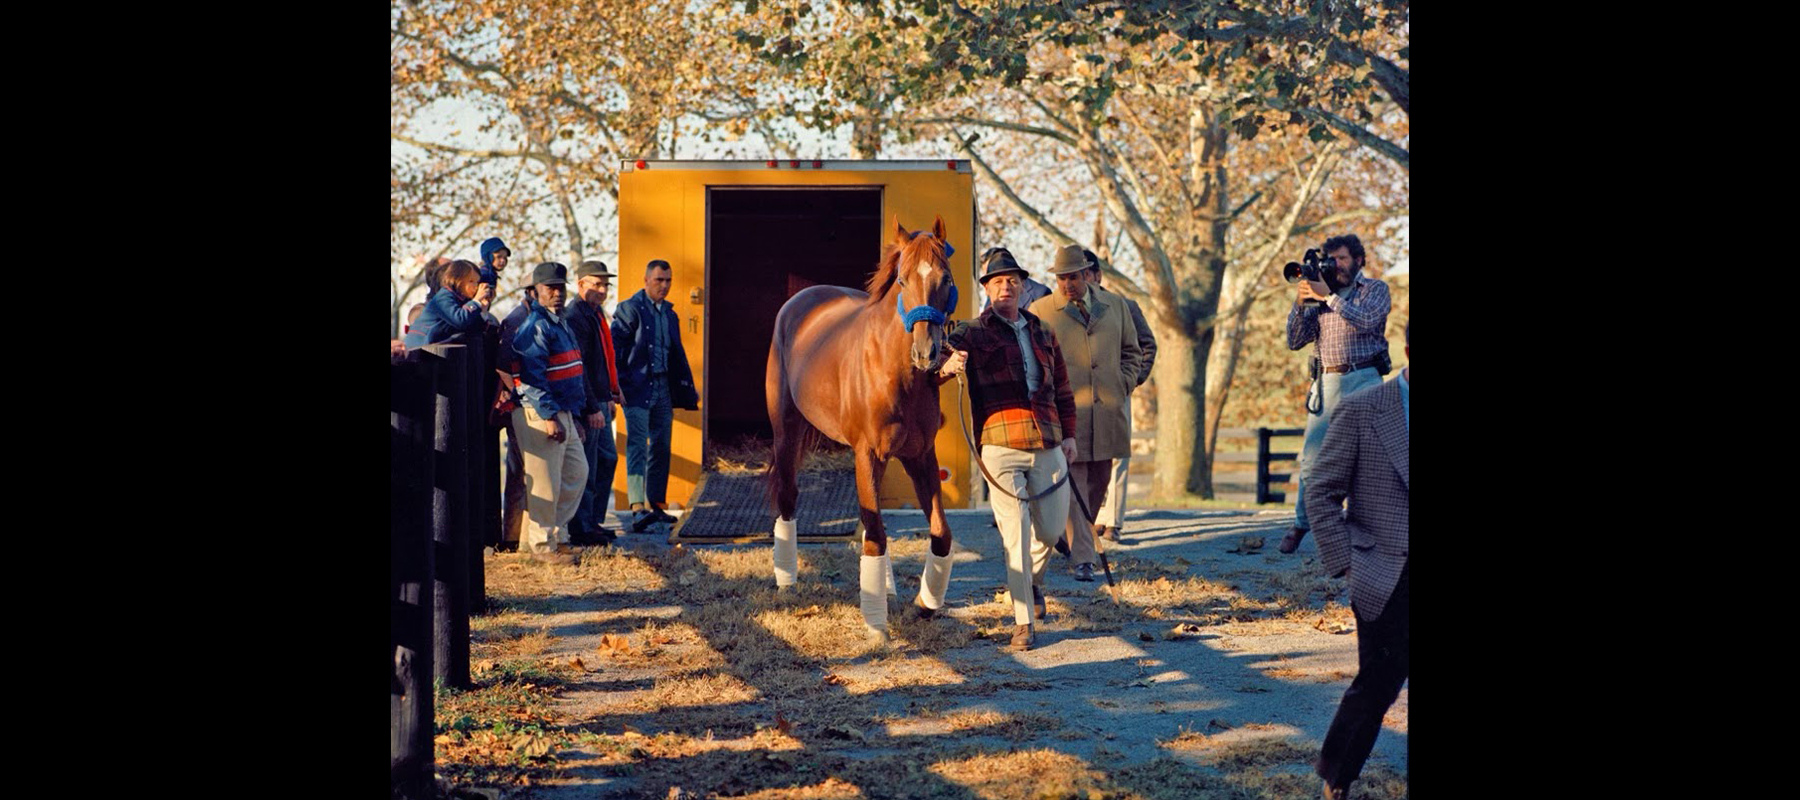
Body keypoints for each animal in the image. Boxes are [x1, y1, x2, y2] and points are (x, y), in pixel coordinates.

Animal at [766, 215, 964, 641]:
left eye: (945, 278)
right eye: (903, 280)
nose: (927, 353)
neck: (894, 371)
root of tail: (802, 300)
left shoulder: (919, 455)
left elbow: (939, 534)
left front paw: (925, 604)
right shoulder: (867, 454)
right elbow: (875, 536)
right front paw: (876, 625)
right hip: (786, 431)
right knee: (788, 497)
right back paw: (787, 581)